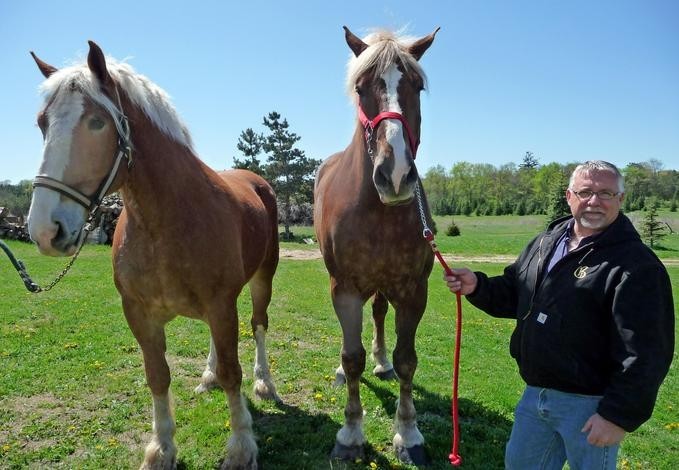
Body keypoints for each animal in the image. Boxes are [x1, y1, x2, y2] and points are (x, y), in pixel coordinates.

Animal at [26, 42, 280, 468]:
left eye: (97, 123)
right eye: (42, 123)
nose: (46, 230)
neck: (167, 220)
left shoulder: (220, 303)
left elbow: (234, 372)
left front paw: (242, 446)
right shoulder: (140, 313)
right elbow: (157, 375)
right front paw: (161, 448)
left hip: (263, 278)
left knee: (258, 325)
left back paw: (264, 383)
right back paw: (208, 376)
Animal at [314, 27, 440, 464]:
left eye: (417, 85)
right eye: (361, 87)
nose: (396, 174)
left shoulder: (413, 290)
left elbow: (407, 360)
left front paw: (409, 433)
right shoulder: (344, 289)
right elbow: (351, 359)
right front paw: (351, 433)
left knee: (381, 314)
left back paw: (381, 362)